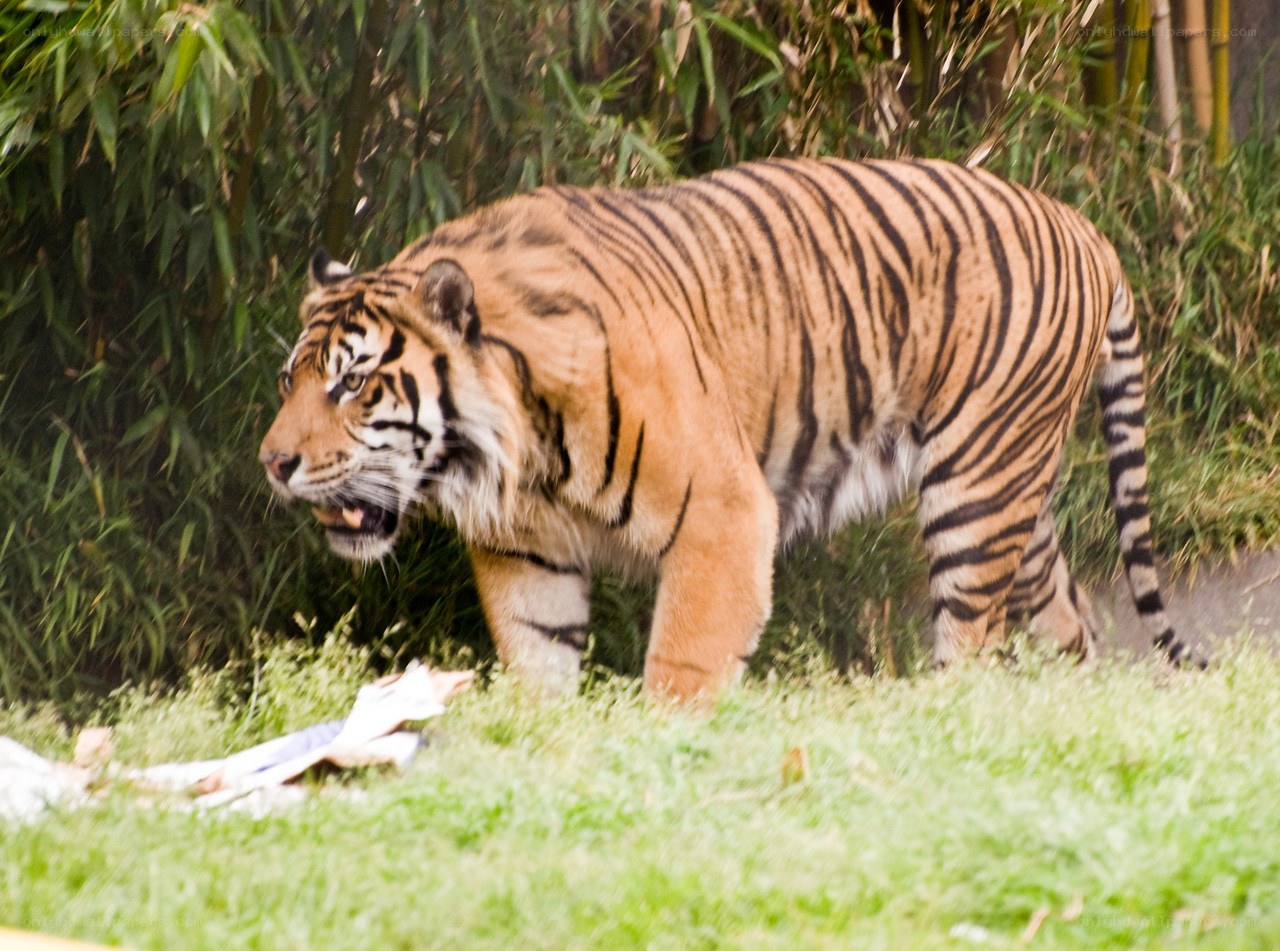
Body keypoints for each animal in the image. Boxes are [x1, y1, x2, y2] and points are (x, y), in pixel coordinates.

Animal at [259, 157, 1198, 700]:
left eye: (351, 382)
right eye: (288, 380)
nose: (272, 463)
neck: (511, 452)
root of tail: (1086, 228)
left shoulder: (722, 509)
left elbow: (682, 661)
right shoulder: (527, 552)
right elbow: (537, 662)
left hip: (977, 491)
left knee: (970, 634)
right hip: (1016, 494)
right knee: (1070, 621)